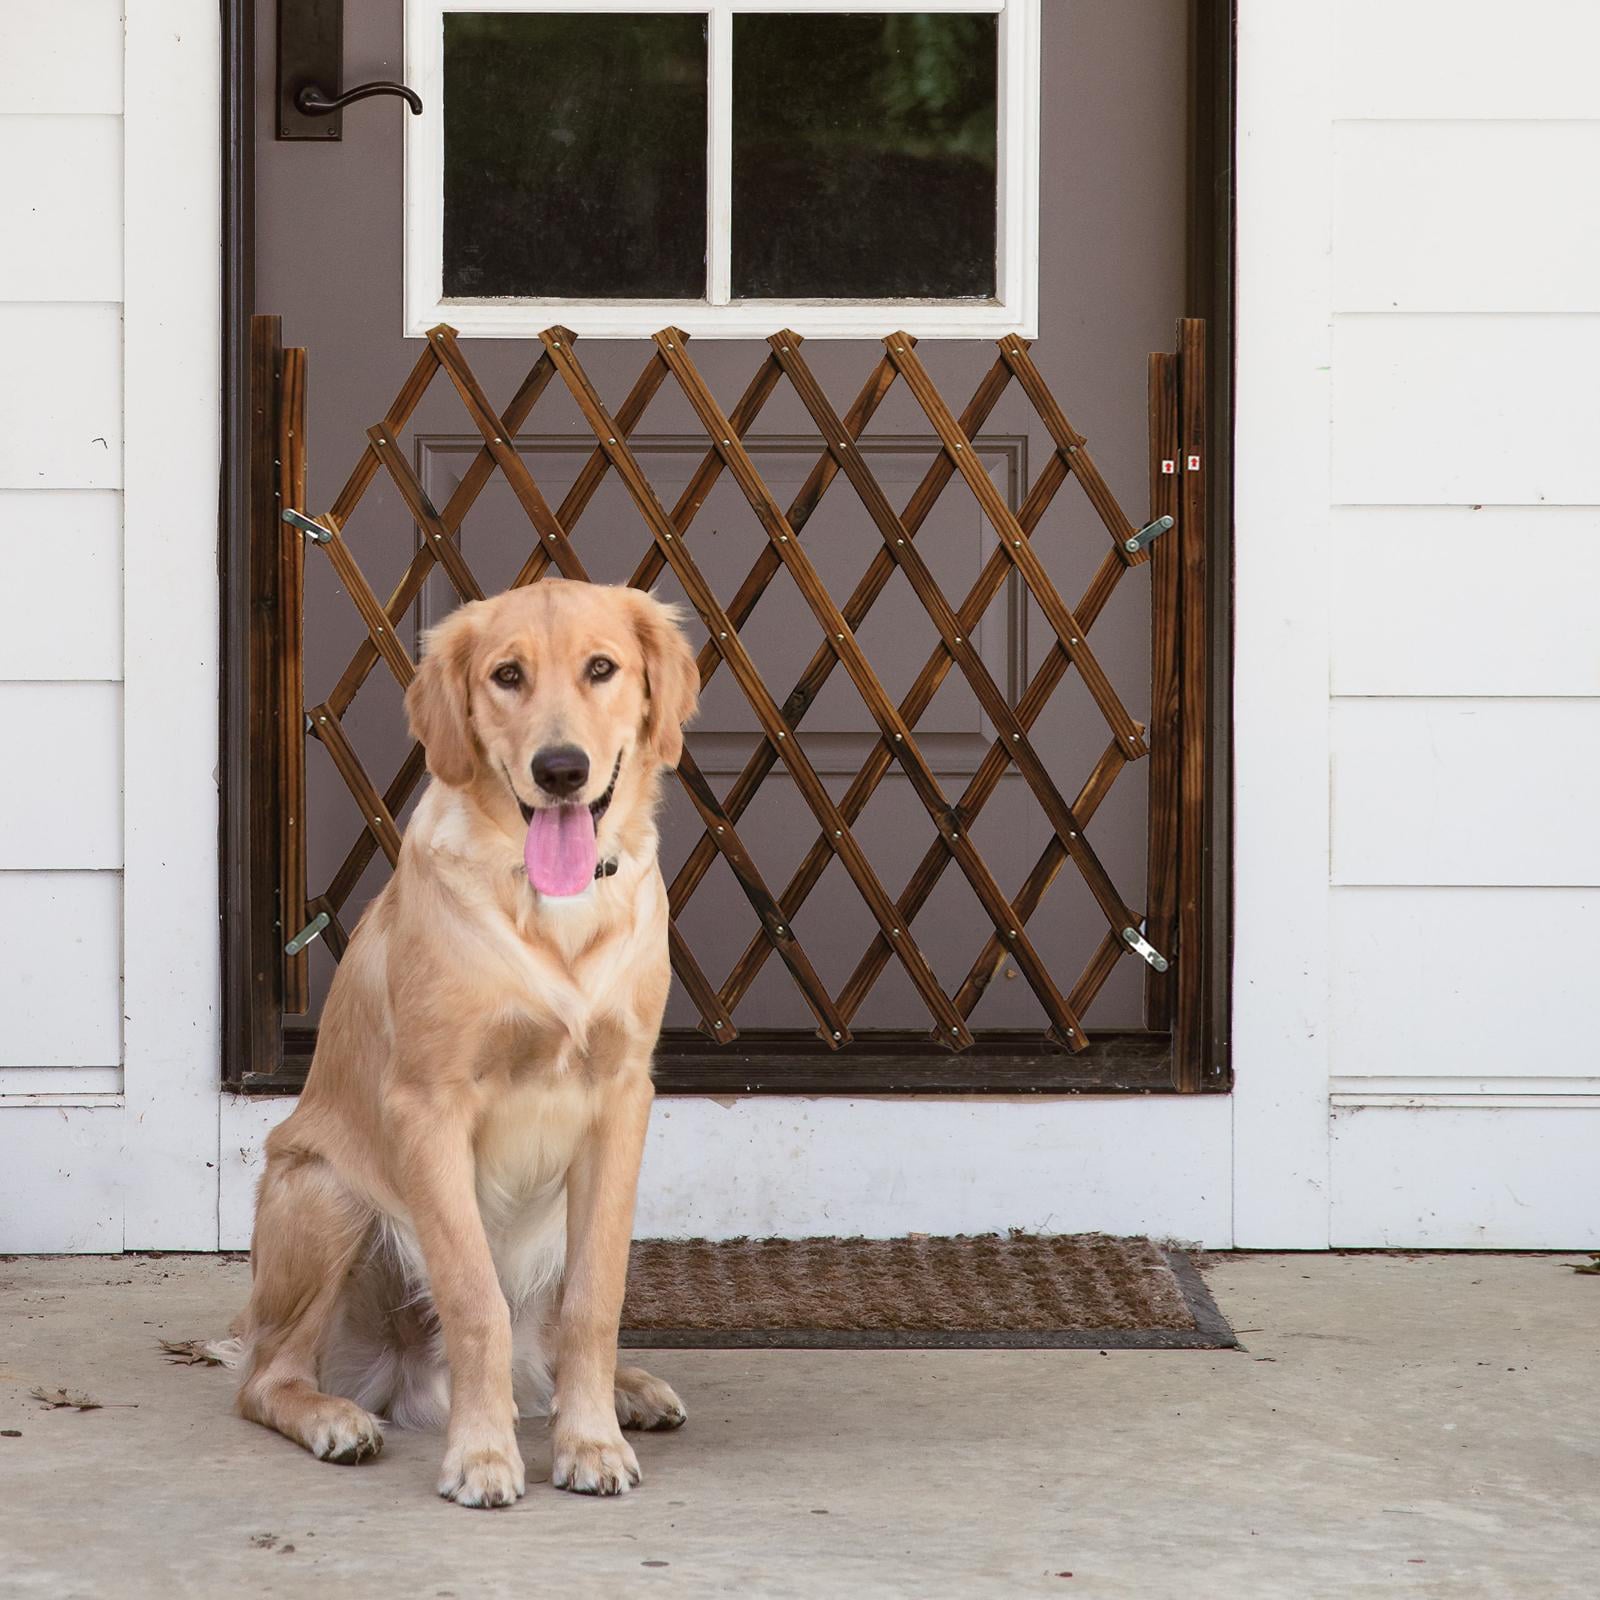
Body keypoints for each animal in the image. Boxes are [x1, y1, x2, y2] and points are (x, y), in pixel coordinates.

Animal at [224, 582, 694, 1504]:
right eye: (507, 675)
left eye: (602, 668)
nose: (561, 769)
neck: (551, 907)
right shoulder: (429, 1106)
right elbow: (476, 1299)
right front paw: (480, 1456)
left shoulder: (623, 1098)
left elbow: (597, 1300)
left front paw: (591, 1442)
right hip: (325, 1192)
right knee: (267, 1375)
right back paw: (335, 1418)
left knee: (548, 1351)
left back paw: (625, 1392)